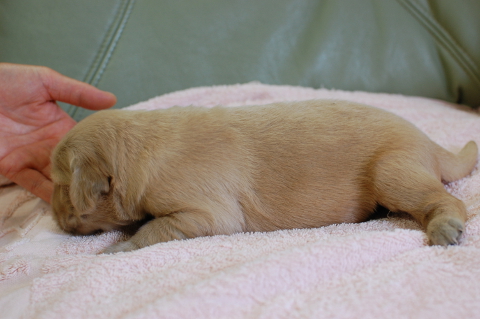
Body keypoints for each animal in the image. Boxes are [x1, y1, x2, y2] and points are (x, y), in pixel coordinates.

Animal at [50, 101, 478, 254]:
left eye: (60, 185)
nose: (53, 217)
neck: (139, 149)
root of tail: (430, 143)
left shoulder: (206, 213)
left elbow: (154, 229)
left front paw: (120, 247)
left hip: (392, 170)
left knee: (448, 200)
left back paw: (444, 227)